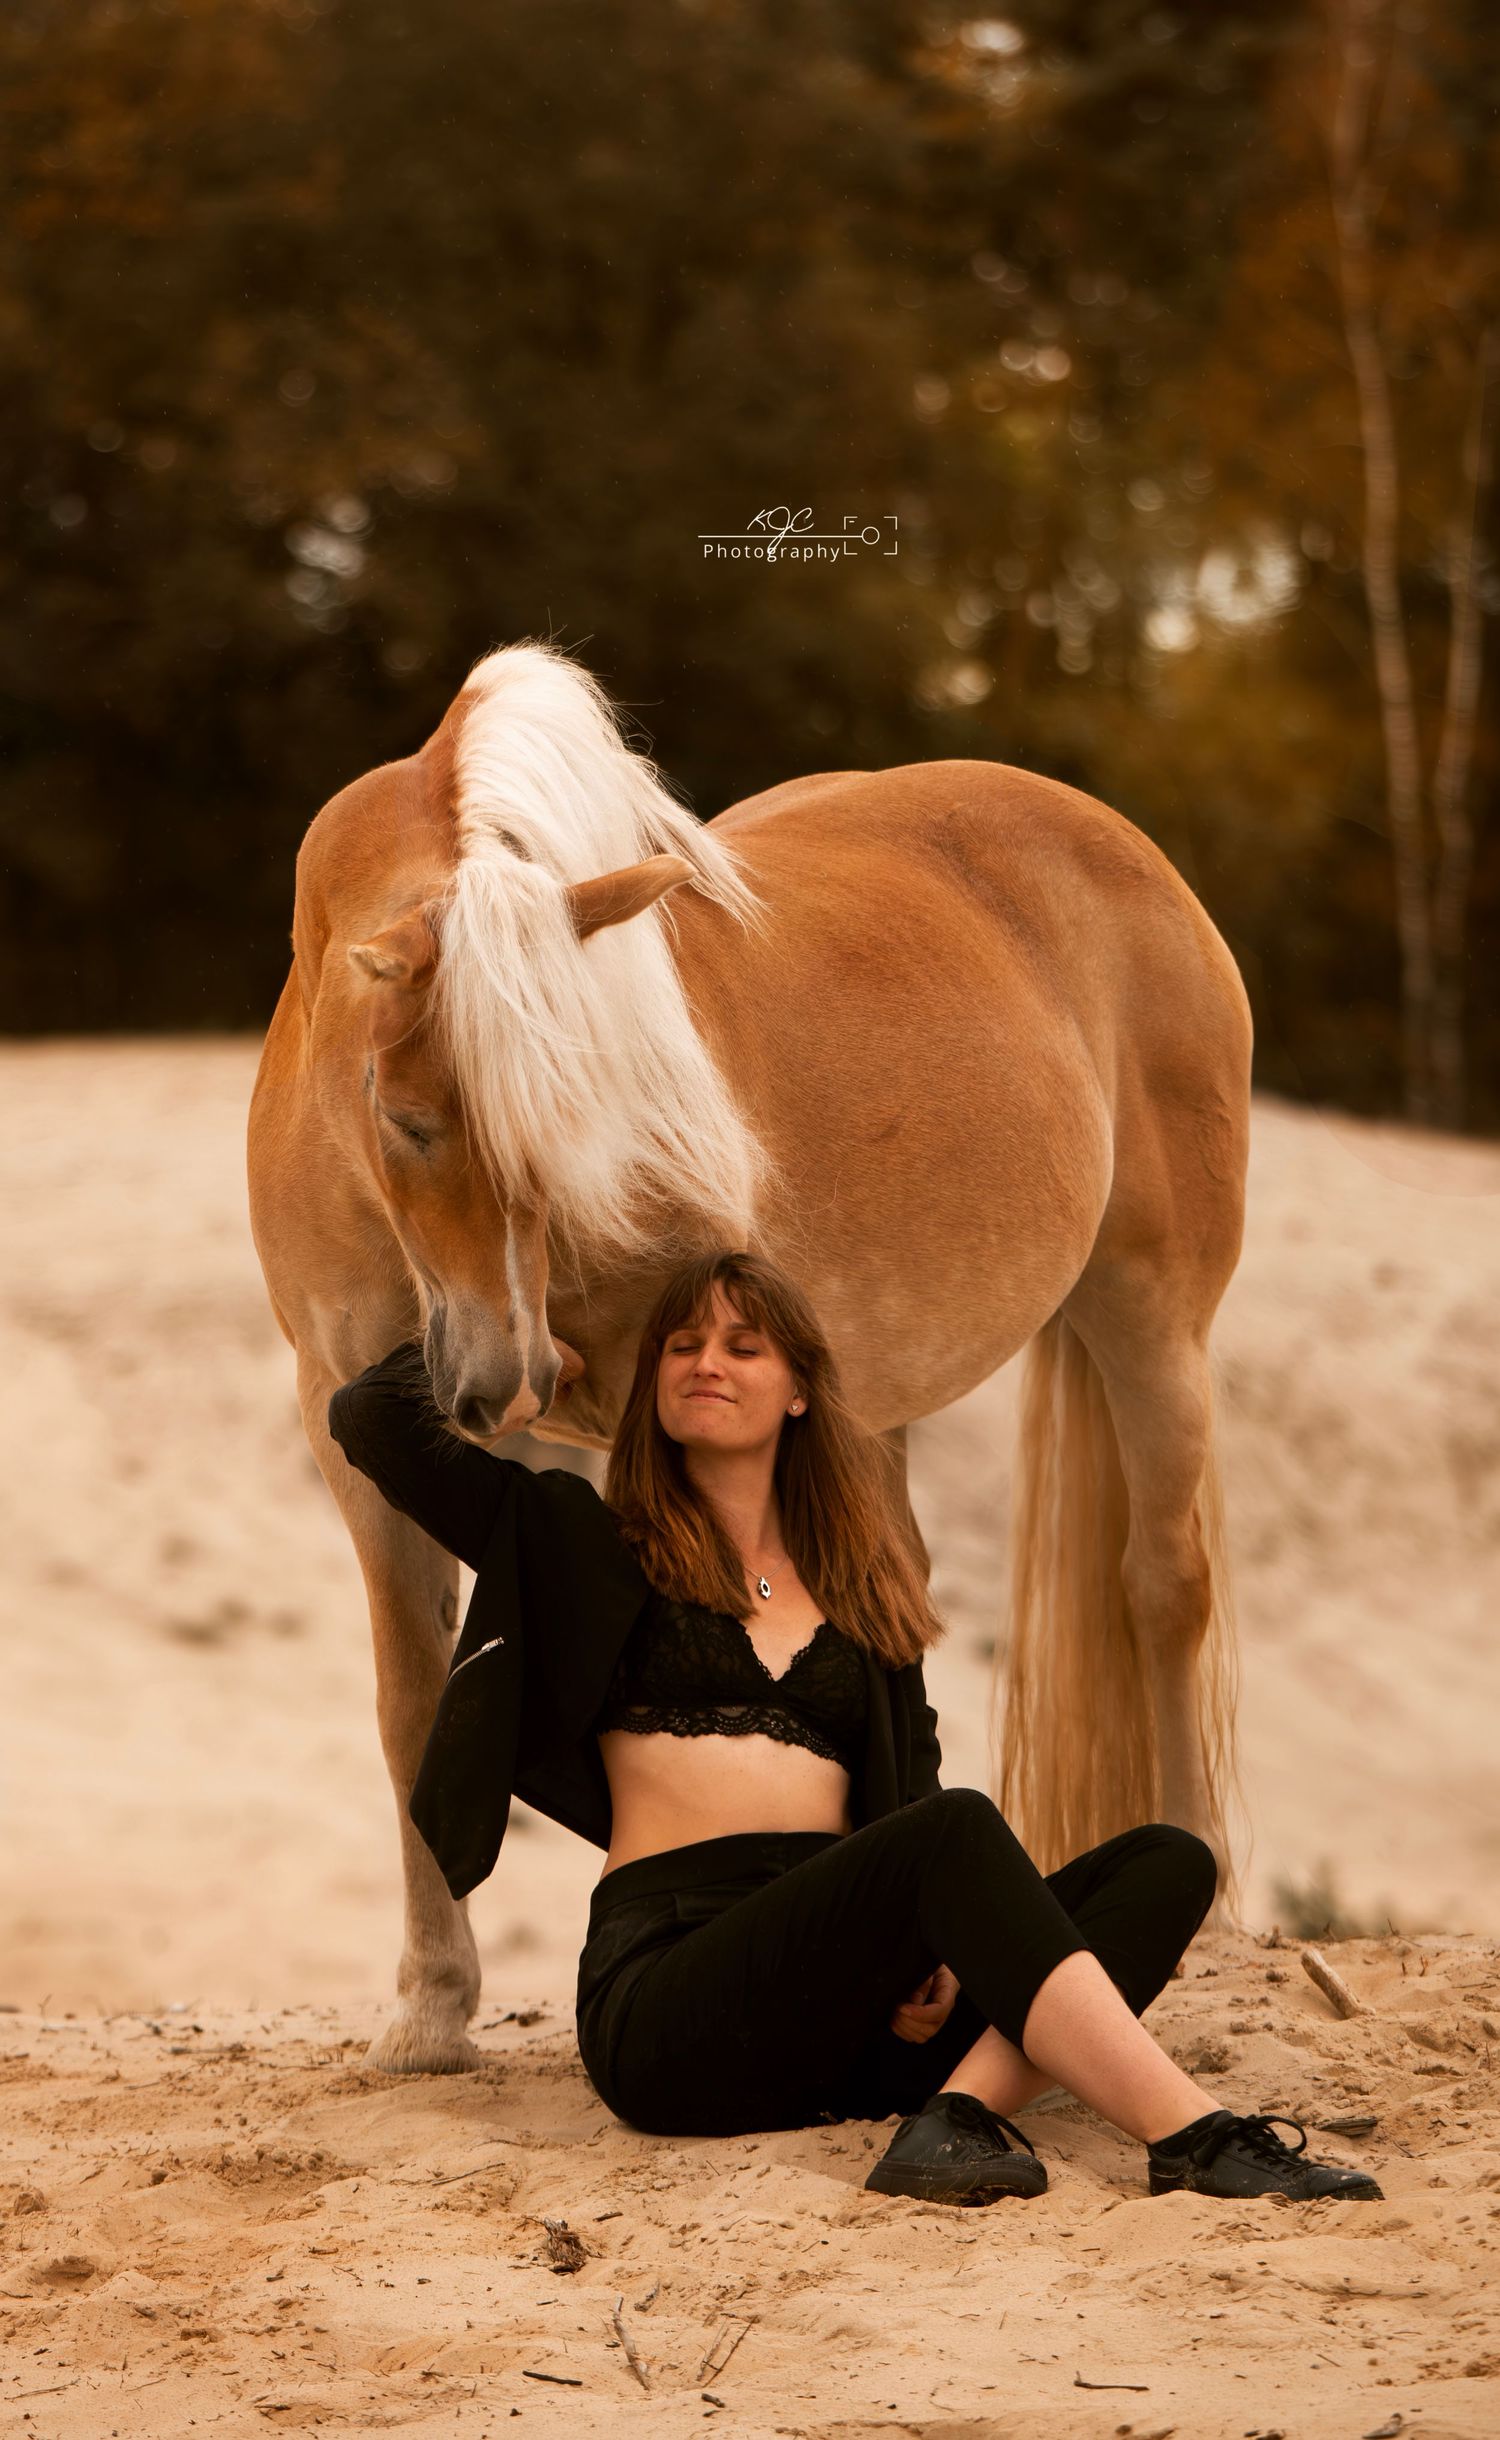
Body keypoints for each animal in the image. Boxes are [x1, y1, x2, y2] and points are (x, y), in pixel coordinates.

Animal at [247, 638, 1252, 2073]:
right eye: (410, 1118)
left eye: (572, 1116)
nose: (501, 1382)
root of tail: (1123, 850)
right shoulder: (352, 1414)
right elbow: (411, 1703)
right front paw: (433, 2010)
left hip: (1150, 1311)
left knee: (1166, 1588)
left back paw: (1210, 1907)